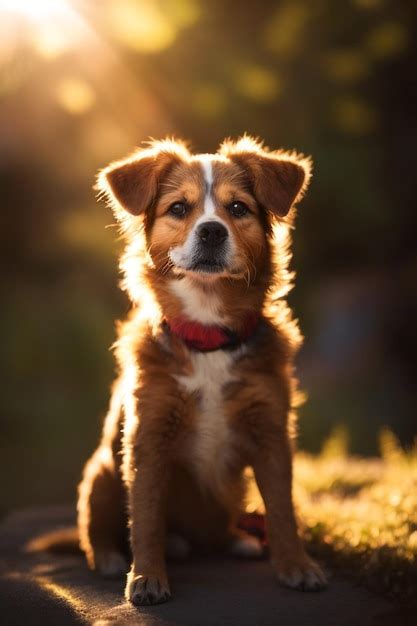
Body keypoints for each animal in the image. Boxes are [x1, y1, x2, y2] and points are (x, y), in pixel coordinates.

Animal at [76, 133, 326, 604]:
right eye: (179, 208)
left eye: (238, 208)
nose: (212, 230)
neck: (208, 338)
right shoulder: (148, 437)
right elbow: (146, 517)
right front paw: (146, 576)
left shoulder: (271, 433)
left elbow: (282, 510)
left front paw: (296, 566)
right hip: (99, 475)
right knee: (96, 530)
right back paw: (111, 558)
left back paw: (238, 540)